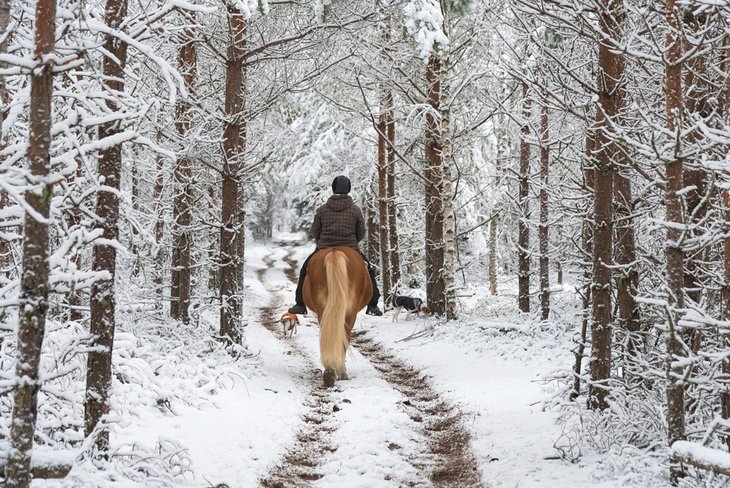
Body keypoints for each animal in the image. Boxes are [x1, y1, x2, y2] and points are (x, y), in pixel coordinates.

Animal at [302, 246, 372, 386]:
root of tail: (334, 252)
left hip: (323, 311)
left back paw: (329, 373)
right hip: (350, 314)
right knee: (344, 338)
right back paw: (341, 372)